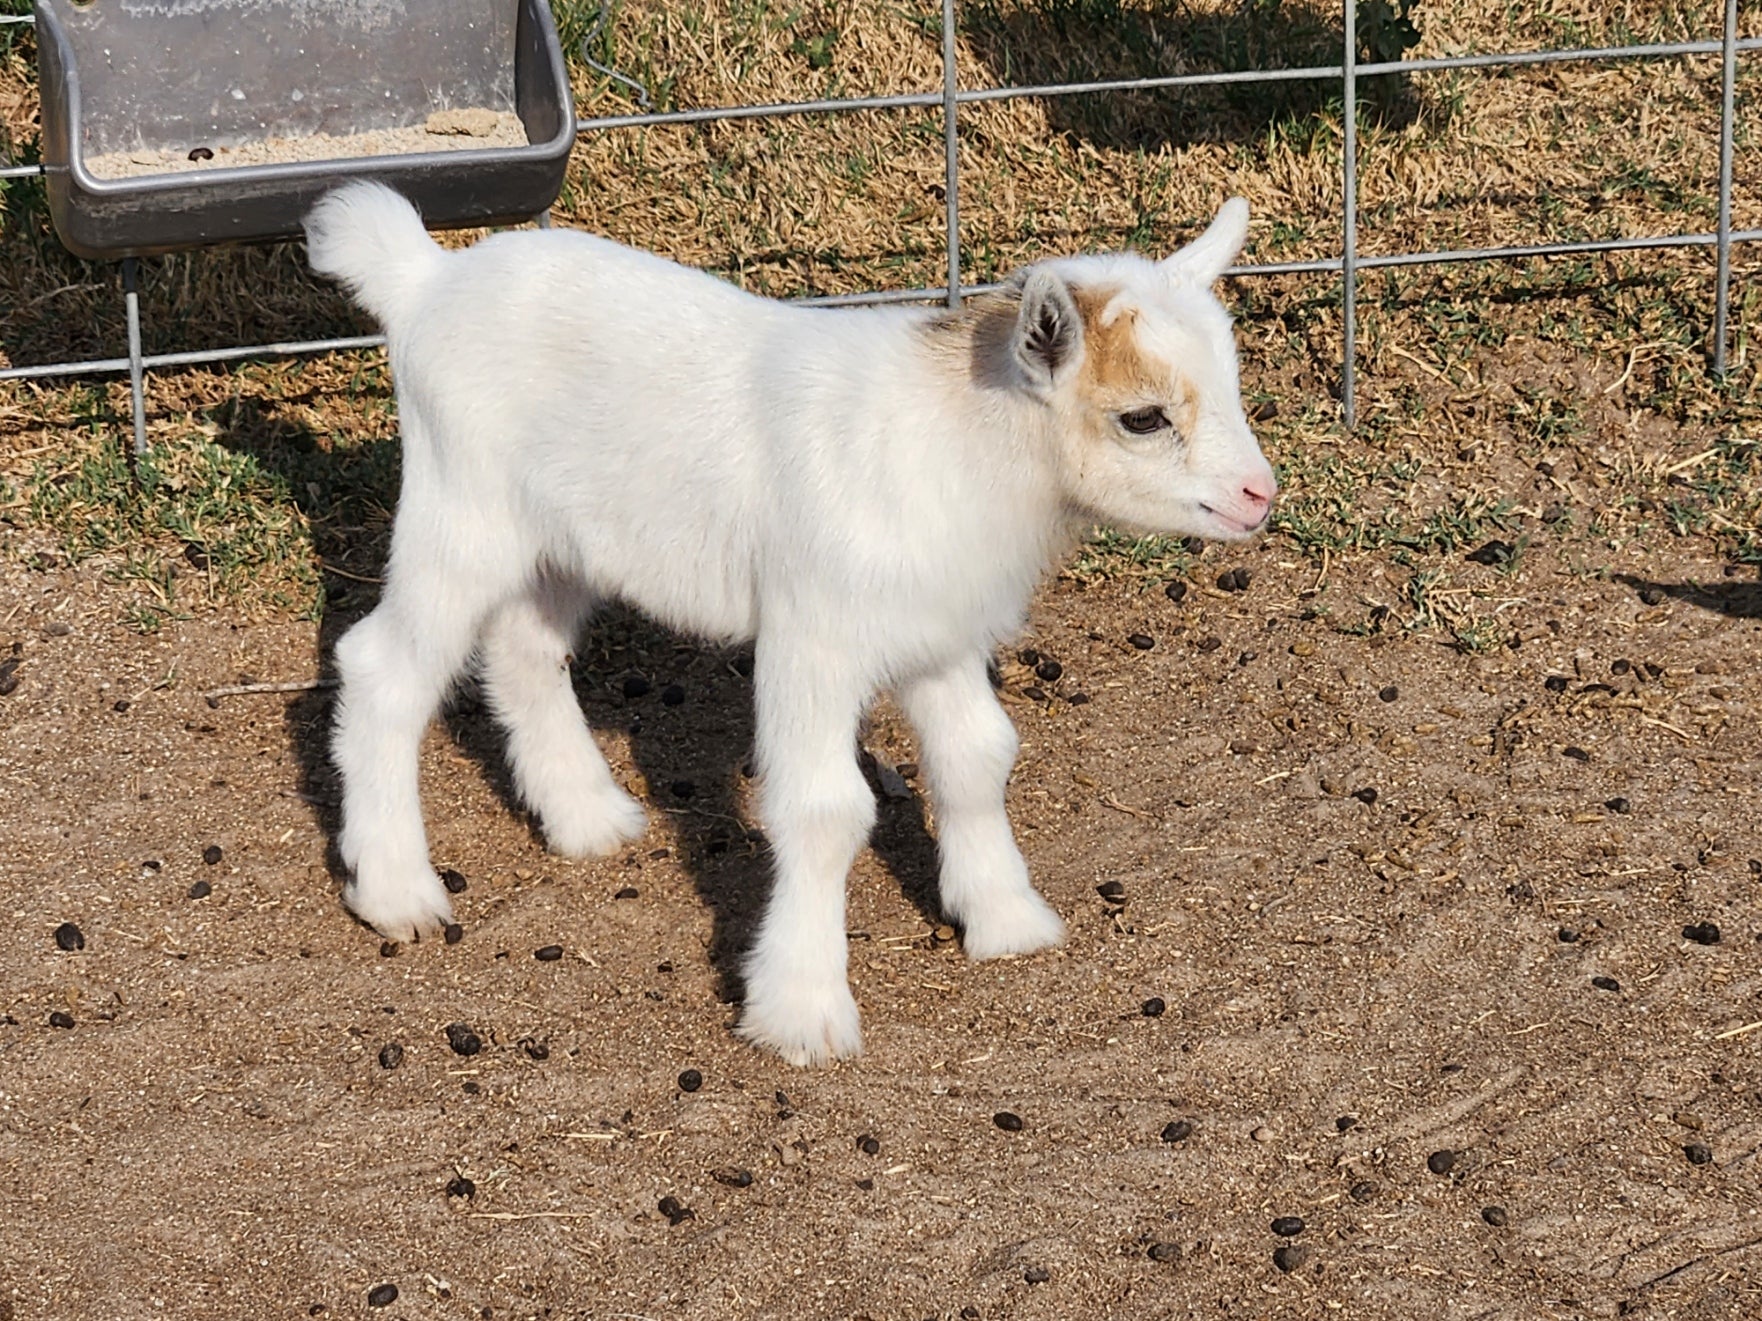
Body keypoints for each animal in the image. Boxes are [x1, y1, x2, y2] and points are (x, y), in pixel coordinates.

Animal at [304, 182, 1277, 1065]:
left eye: (1231, 385)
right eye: (1143, 417)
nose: (1257, 496)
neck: (954, 440)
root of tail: (425, 278)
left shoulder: (939, 635)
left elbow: (976, 758)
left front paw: (1006, 918)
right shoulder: (814, 637)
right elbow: (824, 807)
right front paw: (802, 1011)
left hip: (556, 541)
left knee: (525, 647)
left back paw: (586, 816)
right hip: (460, 510)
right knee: (383, 666)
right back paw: (397, 891)